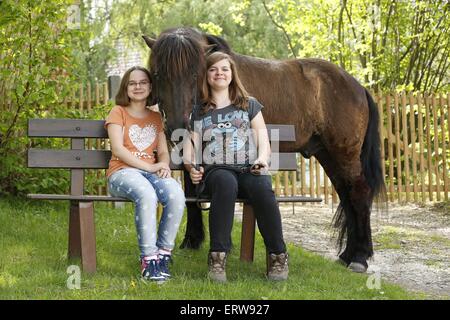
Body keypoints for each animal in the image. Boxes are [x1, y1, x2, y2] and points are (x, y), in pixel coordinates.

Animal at [143, 28, 386, 272]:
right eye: (158, 74)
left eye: (195, 74)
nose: (177, 128)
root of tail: (358, 87)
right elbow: (191, 192)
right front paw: (192, 240)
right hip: (329, 156)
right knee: (346, 195)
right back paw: (347, 254)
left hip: (345, 154)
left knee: (358, 194)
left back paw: (359, 256)